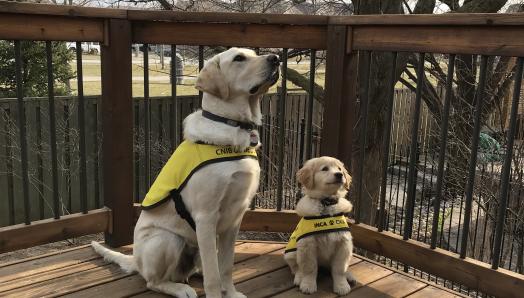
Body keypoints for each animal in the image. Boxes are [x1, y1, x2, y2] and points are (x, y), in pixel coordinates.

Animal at [92, 48, 280, 298]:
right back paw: (180, 288)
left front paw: (230, 292)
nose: (276, 59)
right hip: (168, 239)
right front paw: (216, 293)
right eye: (239, 58)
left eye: (253, 53)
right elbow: (213, 275)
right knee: (154, 281)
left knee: (196, 268)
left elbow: (226, 266)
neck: (232, 125)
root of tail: (137, 262)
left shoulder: (235, 218)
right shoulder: (206, 217)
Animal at [282, 157, 356, 294]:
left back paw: (349, 276)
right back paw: (299, 278)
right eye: (324, 168)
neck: (326, 202)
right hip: (291, 253)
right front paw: (308, 284)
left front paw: (341, 285)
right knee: (296, 268)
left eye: (339, 169)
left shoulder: (343, 243)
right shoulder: (307, 245)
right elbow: (310, 268)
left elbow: (339, 269)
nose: (339, 175)